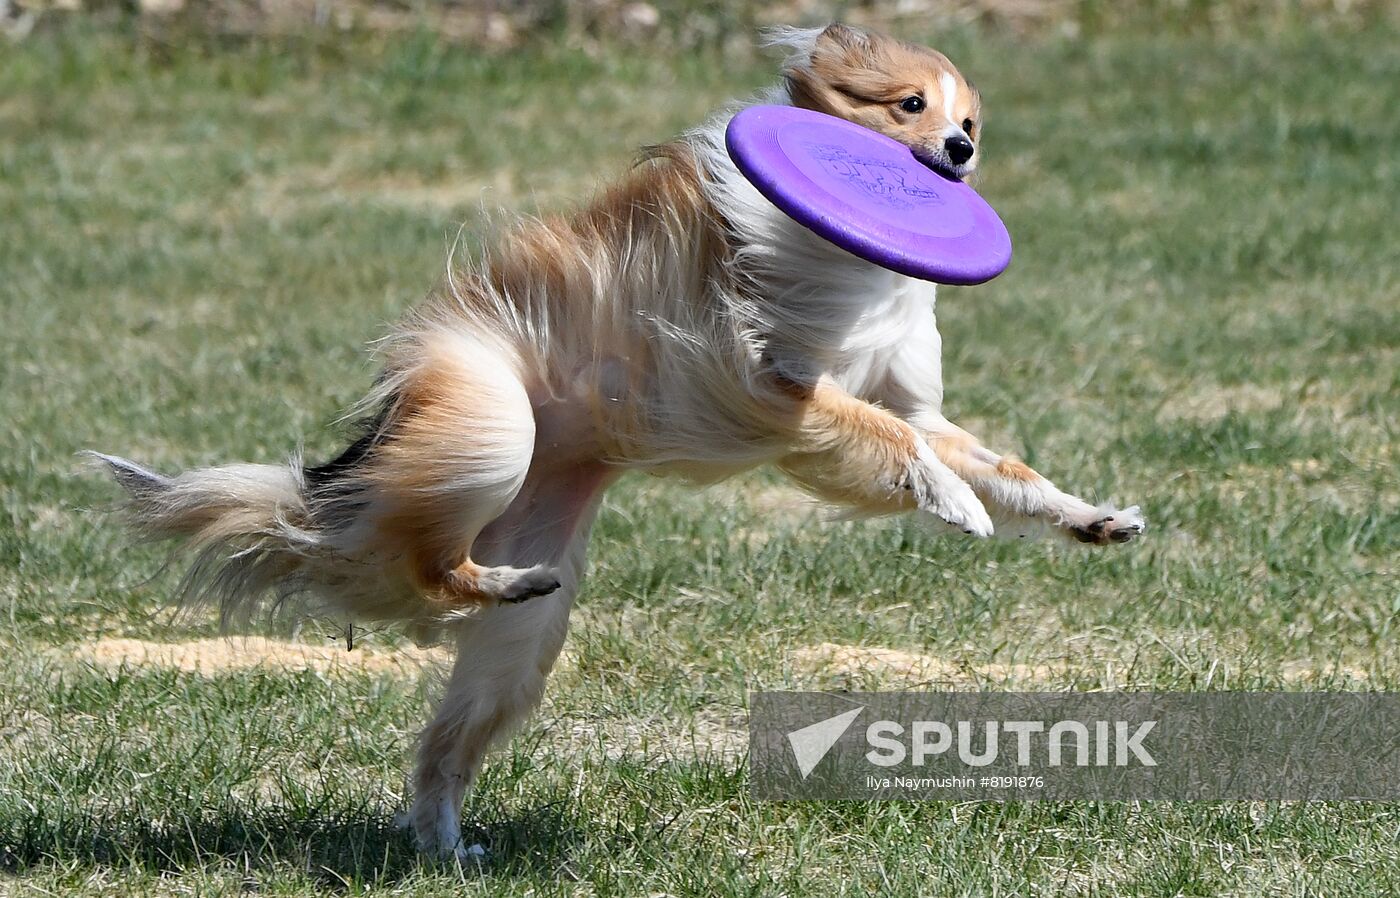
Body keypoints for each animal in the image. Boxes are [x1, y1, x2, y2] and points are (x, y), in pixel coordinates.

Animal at [95, 24, 1148, 857]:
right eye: (910, 104)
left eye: (973, 118)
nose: (961, 149)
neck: (845, 262)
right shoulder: (775, 390)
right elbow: (894, 441)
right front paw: (957, 505)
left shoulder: (901, 402)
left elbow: (989, 458)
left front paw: (1091, 519)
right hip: (491, 425)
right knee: (430, 570)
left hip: (520, 636)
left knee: (443, 735)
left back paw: (447, 836)